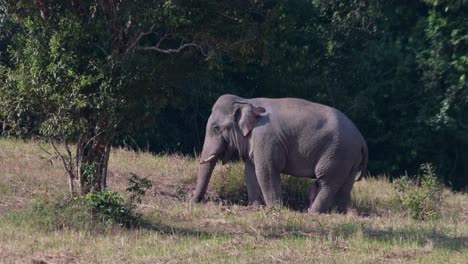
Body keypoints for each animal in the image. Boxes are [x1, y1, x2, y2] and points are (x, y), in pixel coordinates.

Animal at [189, 94, 366, 213]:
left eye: (216, 128)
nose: (190, 200)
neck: (247, 101)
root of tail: (362, 139)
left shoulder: (265, 137)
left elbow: (265, 171)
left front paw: (274, 208)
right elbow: (250, 171)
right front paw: (255, 206)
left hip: (338, 153)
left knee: (327, 182)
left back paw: (312, 213)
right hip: (349, 158)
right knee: (345, 185)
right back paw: (342, 213)